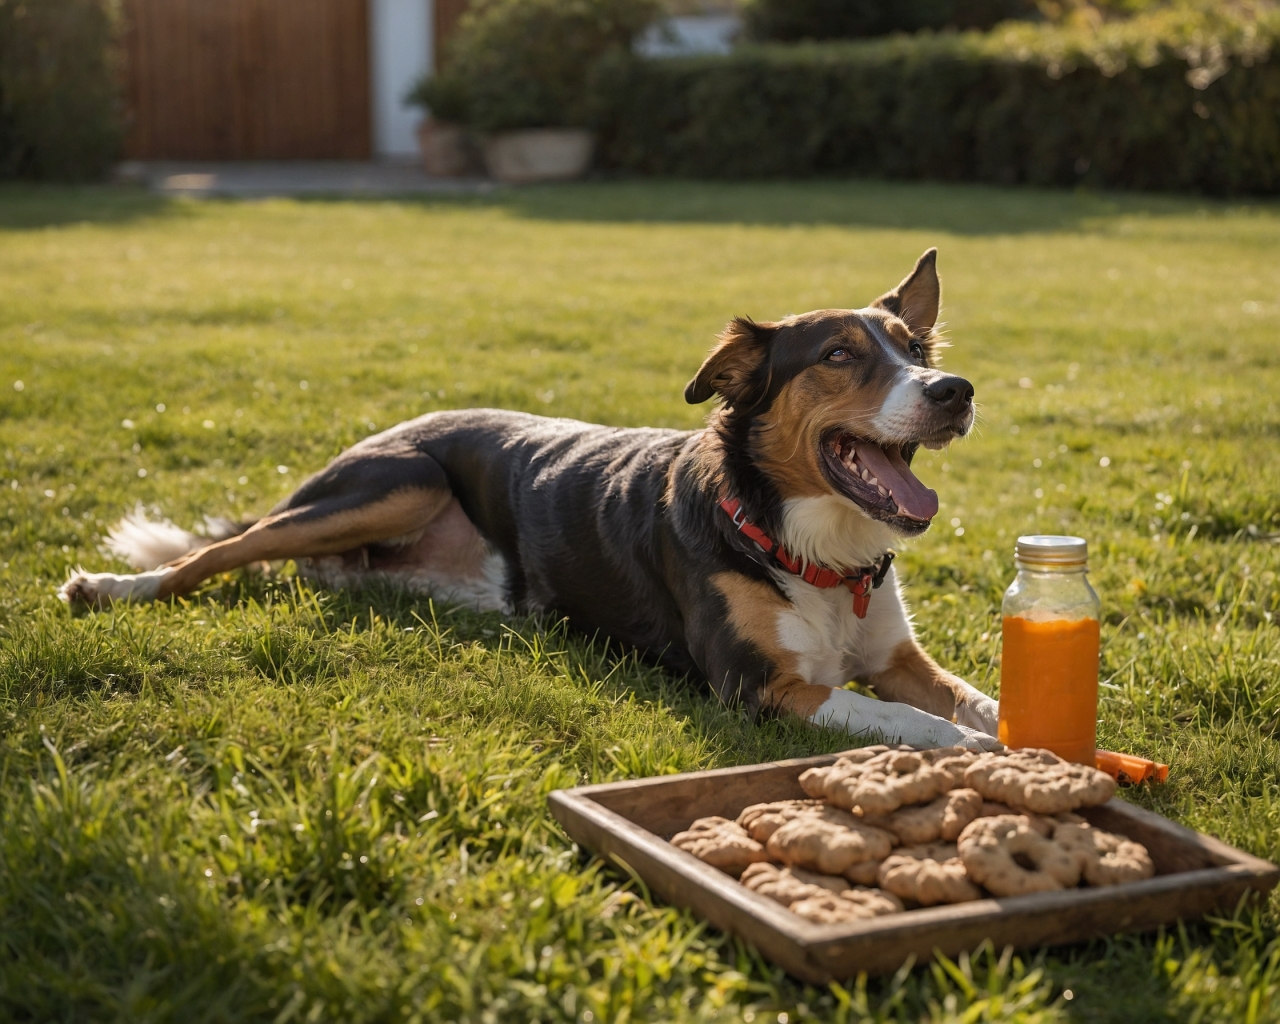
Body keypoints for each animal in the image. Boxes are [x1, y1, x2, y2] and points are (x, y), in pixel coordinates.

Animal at [60, 245, 998, 742]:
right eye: (839, 355)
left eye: (915, 347)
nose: (954, 390)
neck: (806, 543)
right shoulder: (755, 689)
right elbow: (916, 723)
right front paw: (974, 750)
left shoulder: (897, 659)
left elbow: (979, 699)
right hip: (395, 482)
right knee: (220, 551)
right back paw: (113, 587)